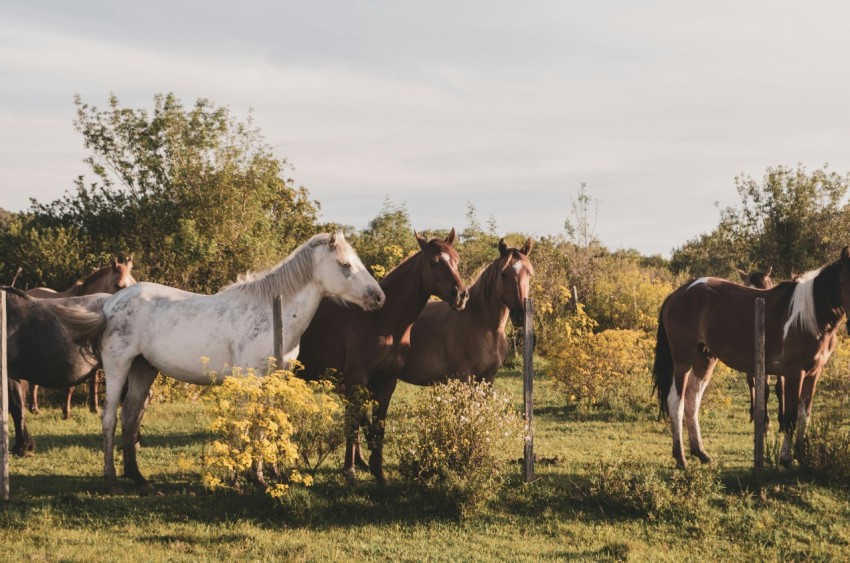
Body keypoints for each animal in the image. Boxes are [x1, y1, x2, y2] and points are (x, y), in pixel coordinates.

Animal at [24, 258, 135, 416]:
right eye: (118, 285)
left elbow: (93, 380)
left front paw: (94, 408)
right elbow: (71, 384)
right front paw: (66, 412)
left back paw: (34, 408)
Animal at [53, 232, 380, 494]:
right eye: (345, 265)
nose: (378, 297)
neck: (271, 311)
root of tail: (109, 304)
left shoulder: (272, 380)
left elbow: (262, 426)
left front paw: (261, 478)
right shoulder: (249, 380)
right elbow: (242, 426)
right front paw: (237, 479)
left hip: (143, 370)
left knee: (130, 418)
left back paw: (141, 481)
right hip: (118, 367)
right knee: (110, 418)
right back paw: (112, 480)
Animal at [296, 229, 470, 484]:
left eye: (457, 260)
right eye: (433, 261)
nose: (459, 295)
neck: (381, 322)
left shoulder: (387, 382)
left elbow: (378, 426)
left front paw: (378, 473)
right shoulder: (356, 380)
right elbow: (353, 424)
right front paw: (350, 472)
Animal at [648, 250, 848, 468]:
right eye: (844, 281)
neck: (808, 317)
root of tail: (677, 294)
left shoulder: (813, 373)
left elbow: (805, 416)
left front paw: (801, 456)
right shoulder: (794, 373)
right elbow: (791, 417)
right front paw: (786, 459)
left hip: (705, 359)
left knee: (693, 400)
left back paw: (700, 452)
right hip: (682, 361)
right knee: (676, 402)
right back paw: (681, 458)